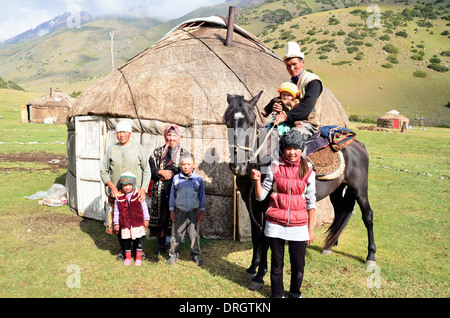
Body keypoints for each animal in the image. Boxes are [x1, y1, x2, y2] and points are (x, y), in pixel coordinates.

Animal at [225, 91, 376, 290]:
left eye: (251, 122)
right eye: (227, 122)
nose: (237, 166)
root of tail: (358, 144)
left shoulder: (267, 206)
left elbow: (264, 239)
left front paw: (259, 276)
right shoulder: (252, 204)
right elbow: (256, 236)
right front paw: (252, 268)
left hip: (360, 189)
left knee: (368, 216)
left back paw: (370, 256)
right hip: (336, 191)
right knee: (341, 213)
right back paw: (328, 247)